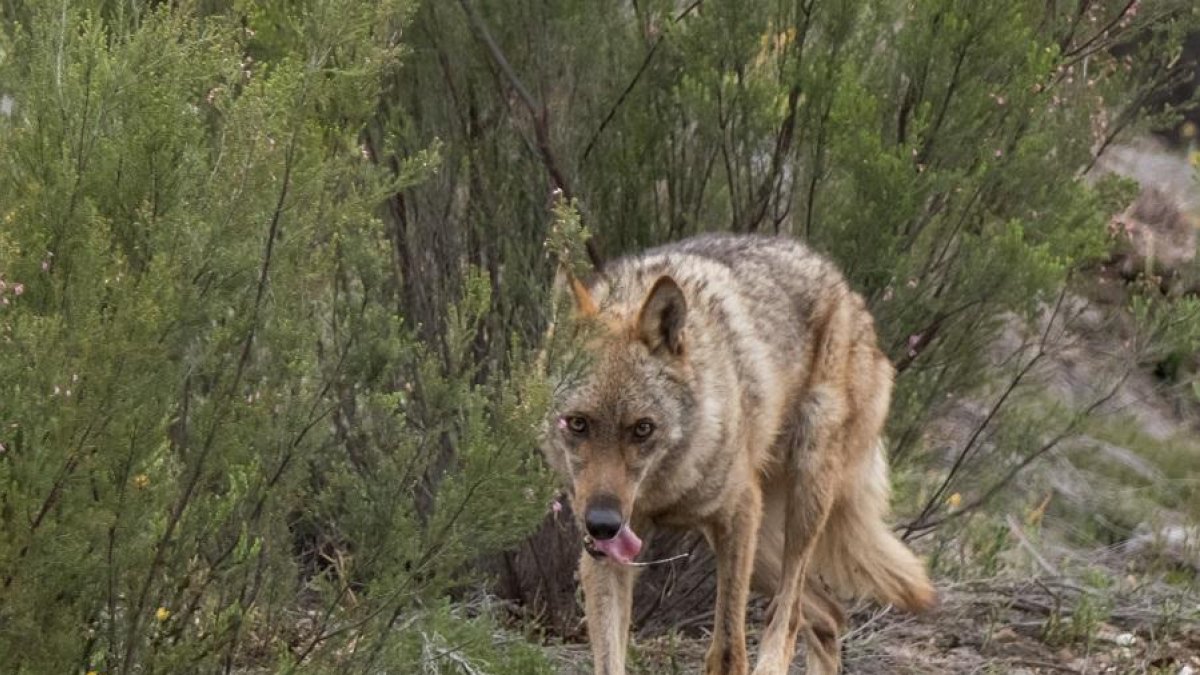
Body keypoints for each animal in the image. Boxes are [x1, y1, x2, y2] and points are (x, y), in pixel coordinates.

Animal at [541, 233, 936, 675]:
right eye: (577, 423)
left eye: (643, 429)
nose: (602, 525)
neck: (664, 490)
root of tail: (848, 292)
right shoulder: (608, 557)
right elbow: (610, 659)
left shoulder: (737, 514)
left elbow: (729, 651)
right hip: (763, 549)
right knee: (829, 614)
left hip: (800, 506)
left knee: (789, 617)